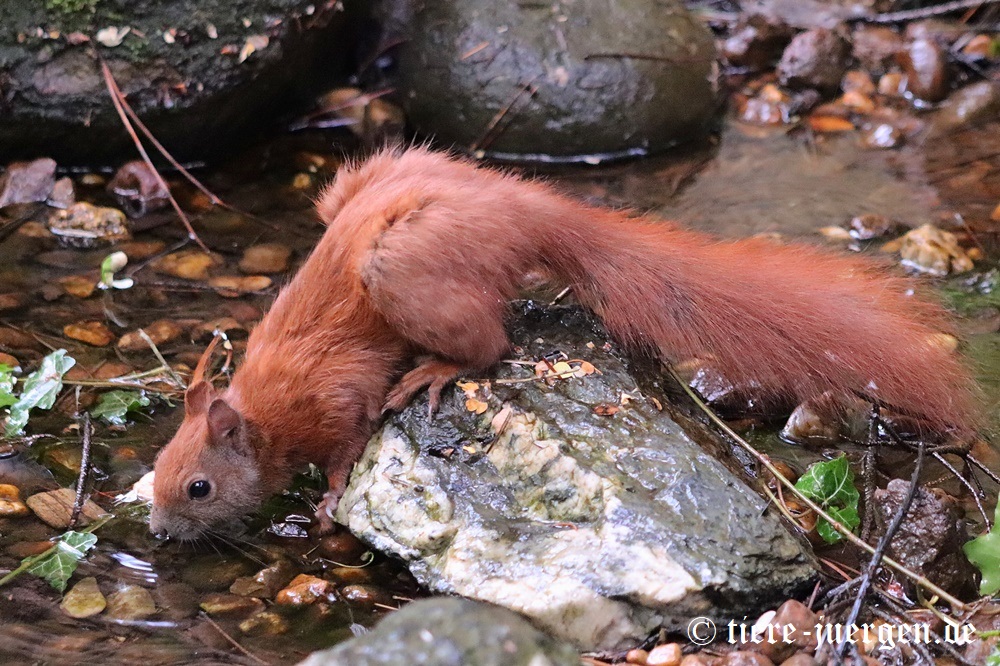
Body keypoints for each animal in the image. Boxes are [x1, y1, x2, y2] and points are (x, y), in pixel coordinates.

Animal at [148, 147, 976, 540]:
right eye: (154, 473)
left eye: (199, 488)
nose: (155, 533)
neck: (265, 411)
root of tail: (524, 208)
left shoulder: (332, 394)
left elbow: (346, 443)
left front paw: (324, 501)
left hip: (402, 269)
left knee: (488, 342)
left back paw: (435, 371)